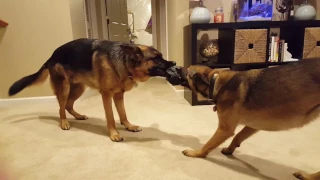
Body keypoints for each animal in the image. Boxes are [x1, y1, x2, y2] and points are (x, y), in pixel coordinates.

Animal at [8, 38, 176, 142]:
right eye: (156, 58)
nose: (174, 62)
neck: (124, 62)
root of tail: (51, 56)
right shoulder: (106, 95)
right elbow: (111, 117)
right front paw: (114, 134)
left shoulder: (119, 95)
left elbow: (123, 113)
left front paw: (128, 126)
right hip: (64, 88)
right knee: (61, 107)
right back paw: (64, 123)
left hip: (79, 88)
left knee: (68, 105)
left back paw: (78, 116)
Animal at [166, 58, 320, 179]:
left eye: (187, 70)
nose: (175, 65)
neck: (215, 82)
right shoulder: (253, 125)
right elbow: (238, 136)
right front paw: (230, 149)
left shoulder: (224, 129)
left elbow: (208, 145)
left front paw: (196, 153)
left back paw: (306, 176)